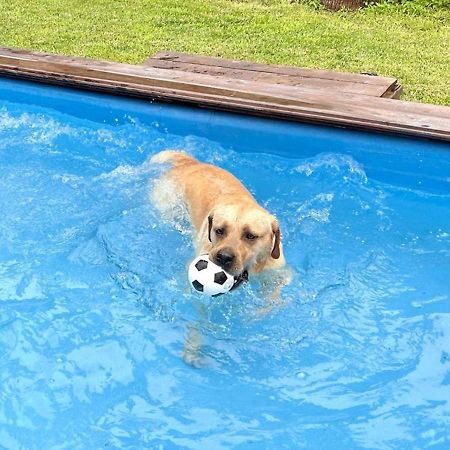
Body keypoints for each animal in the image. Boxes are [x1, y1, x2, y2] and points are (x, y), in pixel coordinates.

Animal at [151, 151, 292, 366]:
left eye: (250, 235)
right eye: (219, 230)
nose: (223, 257)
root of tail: (191, 163)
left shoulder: (278, 273)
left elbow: (271, 298)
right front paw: (194, 346)